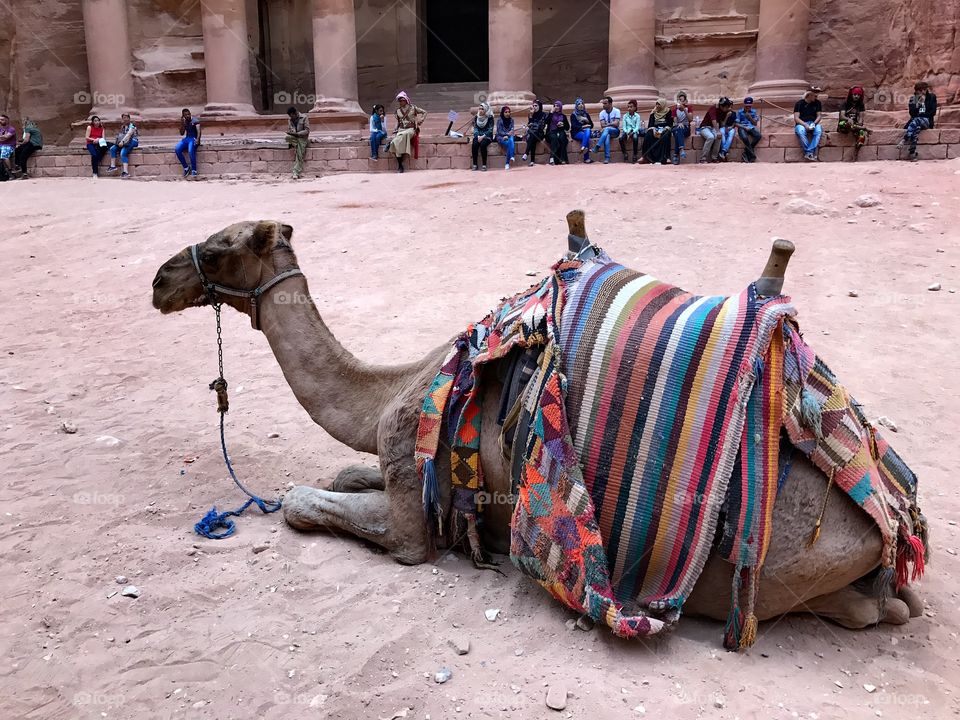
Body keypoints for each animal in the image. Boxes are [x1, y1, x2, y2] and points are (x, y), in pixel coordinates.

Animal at [151, 217, 924, 635]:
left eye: (219, 248)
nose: (159, 280)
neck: (400, 386)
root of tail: (892, 526)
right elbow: (341, 471)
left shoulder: (411, 516)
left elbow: (305, 504)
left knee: (861, 612)